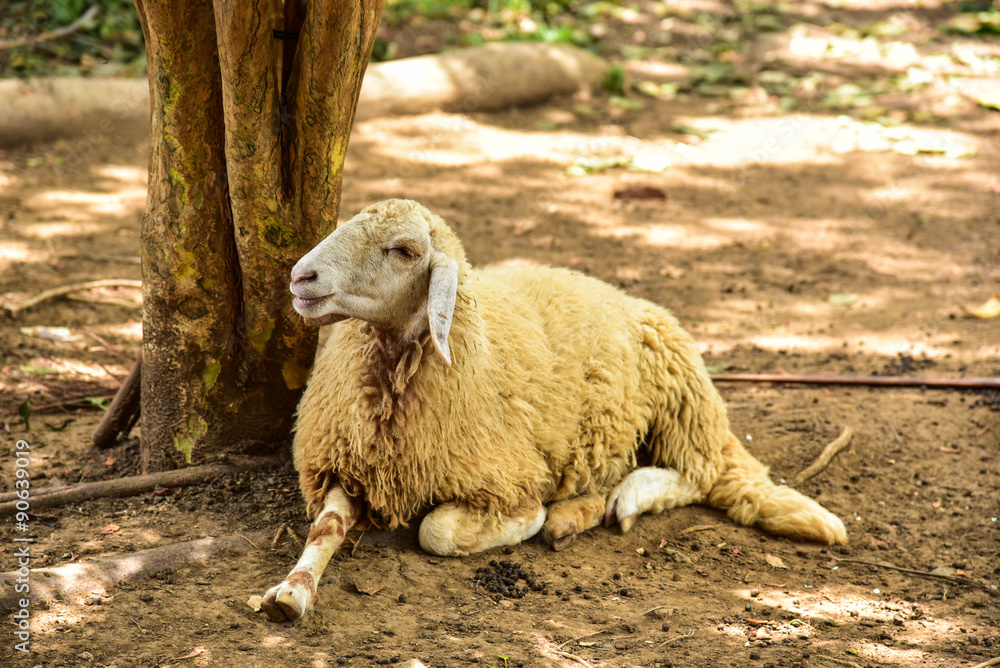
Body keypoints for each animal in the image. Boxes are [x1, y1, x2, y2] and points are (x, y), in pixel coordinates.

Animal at [260, 198, 847, 622]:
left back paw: (618, 501)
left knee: (698, 472)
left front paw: (531, 519)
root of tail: (616, 291)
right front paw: (292, 592)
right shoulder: (346, 463)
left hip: (683, 399)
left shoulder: (507, 475)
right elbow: (325, 529)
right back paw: (578, 513)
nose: (301, 276)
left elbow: (438, 532)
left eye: (404, 250)